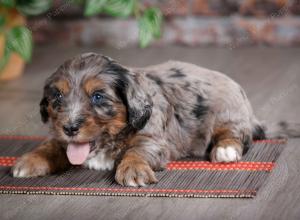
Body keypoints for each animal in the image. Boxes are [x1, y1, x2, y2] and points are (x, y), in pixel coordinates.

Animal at [12, 52, 296, 186]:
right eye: (57, 96)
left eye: (98, 97)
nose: (70, 128)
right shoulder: (60, 137)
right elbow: (52, 144)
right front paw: (29, 160)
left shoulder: (153, 138)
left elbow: (137, 151)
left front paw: (133, 170)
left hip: (228, 112)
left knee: (237, 134)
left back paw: (226, 150)